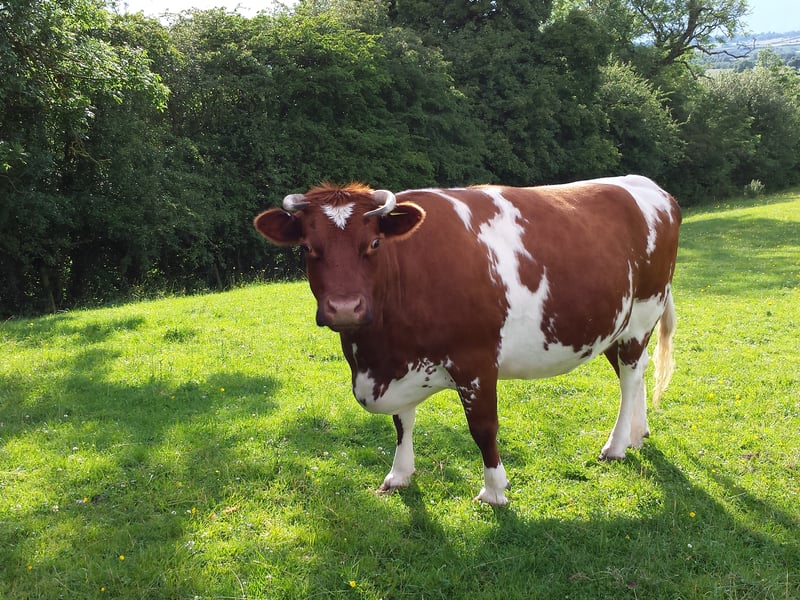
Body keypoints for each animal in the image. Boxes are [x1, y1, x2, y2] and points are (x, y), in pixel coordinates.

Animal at [253, 175, 680, 505]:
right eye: (308, 248)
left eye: (374, 243)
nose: (344, 308)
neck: (376, 357)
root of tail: (650, 186)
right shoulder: (398, 366)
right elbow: (401, 422)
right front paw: (399, 475)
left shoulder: (476, 362)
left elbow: (483, 428)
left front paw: (494, 490)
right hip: (615, 323)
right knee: (635, 374)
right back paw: (638, 434)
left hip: (643, 312)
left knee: (630, 377)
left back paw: (616, 445)